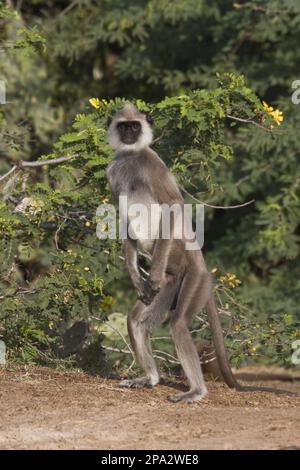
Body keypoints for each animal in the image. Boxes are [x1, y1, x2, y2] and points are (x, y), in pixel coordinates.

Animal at [106, 104, 296, 402]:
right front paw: (136, 279)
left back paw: (196, 391)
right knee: (137, 320)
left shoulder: (152, 164)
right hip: (172, 283)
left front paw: (151, 273)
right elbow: (124, 224)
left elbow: (172, 205)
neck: (131, 157)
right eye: (123, 126)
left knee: (179, 323)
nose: (129, 134)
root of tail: (200, 264)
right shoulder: (112, 171)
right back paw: (151, 378)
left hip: (195, 278)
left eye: (134, 126)